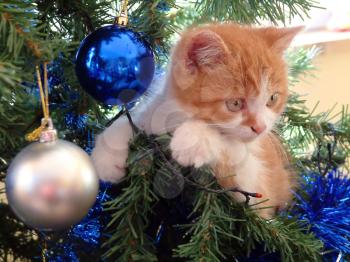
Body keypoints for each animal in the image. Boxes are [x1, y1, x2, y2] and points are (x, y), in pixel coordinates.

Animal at [91, 23, 302, 218]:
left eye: (272, 99)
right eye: (235, 103)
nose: (260, 127)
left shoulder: (257, 186)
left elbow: (234, 154)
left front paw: (196, 139)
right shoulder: (156, 112)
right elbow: (135, 118)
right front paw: (106, 155)